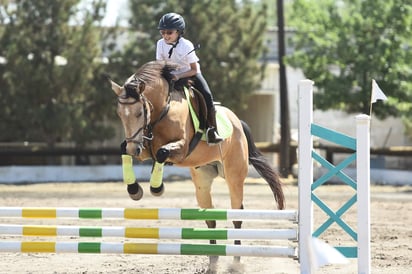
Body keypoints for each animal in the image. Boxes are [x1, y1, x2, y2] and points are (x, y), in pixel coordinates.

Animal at [108, 60, 284, 268]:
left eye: (139, 113)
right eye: (119, 114)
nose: (133, 149)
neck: (162, 111)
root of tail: (237, 122)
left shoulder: (181, 148)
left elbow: (162, 153)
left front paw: (156, 188)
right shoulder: (143, 148)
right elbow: (126, 150)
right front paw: (134, 189)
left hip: (234, 177)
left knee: (236, 215)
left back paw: (235, 262)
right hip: (202, 181)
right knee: (210, 217)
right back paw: (213, 262)